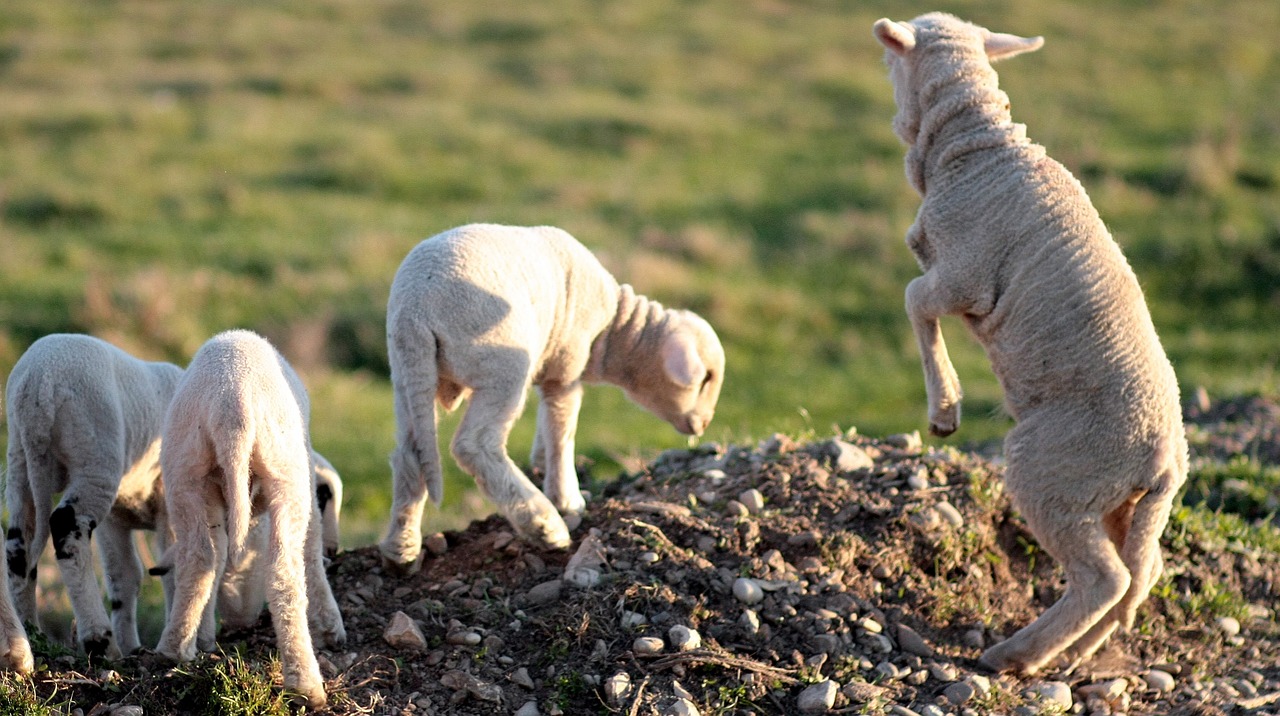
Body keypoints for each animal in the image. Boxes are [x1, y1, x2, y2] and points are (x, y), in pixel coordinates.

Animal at [3, 333, 183, 660]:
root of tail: (38, 385)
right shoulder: (170, 502)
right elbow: (176, 567)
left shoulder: (116, 519)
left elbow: (125, 574)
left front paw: (133, 646)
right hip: (95, 454)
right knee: (66, 527)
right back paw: (99, 640)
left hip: (20, 460)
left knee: (18, 543)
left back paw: (31, 631)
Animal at [155, 333, 345, 712]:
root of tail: (231, 409)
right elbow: (312, 547)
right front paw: (331, 625)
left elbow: (216, 560)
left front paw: (204, 638)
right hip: (286, 471)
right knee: (284, 572)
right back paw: (307, 685)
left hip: (185, 472)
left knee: (199, 559)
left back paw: (176, 648)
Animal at [376, 224, 721, 571]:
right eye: (706, 378)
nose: (704, 425)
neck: (613, 331)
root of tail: (415, 313)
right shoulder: (566, 365)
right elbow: (562, 430)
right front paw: (567, 498)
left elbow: (547, 421)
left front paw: (540, 461)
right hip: (500, 366)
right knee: (475, 445)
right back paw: (544, 525)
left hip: (407, 375)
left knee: (409, 453)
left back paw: (401, 550)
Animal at [875, 12, 1182, 676]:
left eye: (889, 59)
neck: (976, 148)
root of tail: (1164, 459)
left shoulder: (962, 273)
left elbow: (913, 300)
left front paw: (945, 411)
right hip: (1118, 501)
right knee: (1143, 573)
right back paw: (1073, 657)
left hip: (1054, 472)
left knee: (1105, 580)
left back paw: (1012, 655)